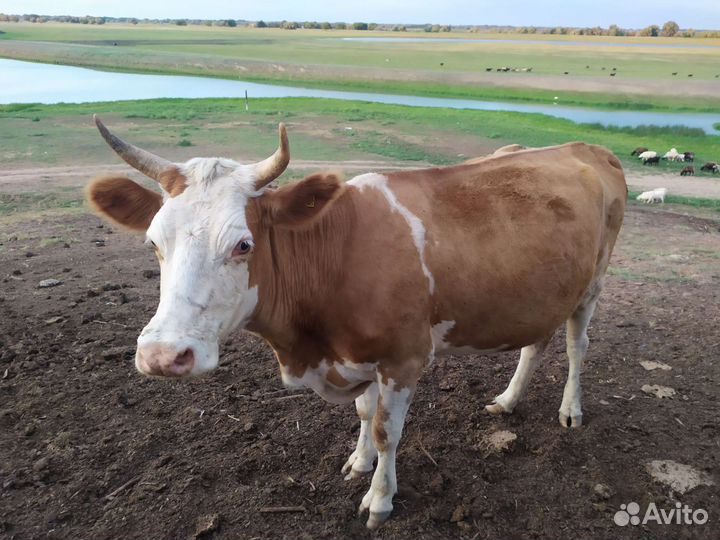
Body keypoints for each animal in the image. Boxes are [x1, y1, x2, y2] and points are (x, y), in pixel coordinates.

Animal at [86, 116, 627, 529]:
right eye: (153, 241)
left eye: (242, 244)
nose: (162, 355)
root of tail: (587, 147)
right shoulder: (357, 356)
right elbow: (365, 414)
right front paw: (359, 461)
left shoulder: (405, 358)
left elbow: (389, 430)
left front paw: (380, 499)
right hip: (545, 293)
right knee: (535, 344)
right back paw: (509, 400)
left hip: (593, 284)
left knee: (577, 346)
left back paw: (571, 410)